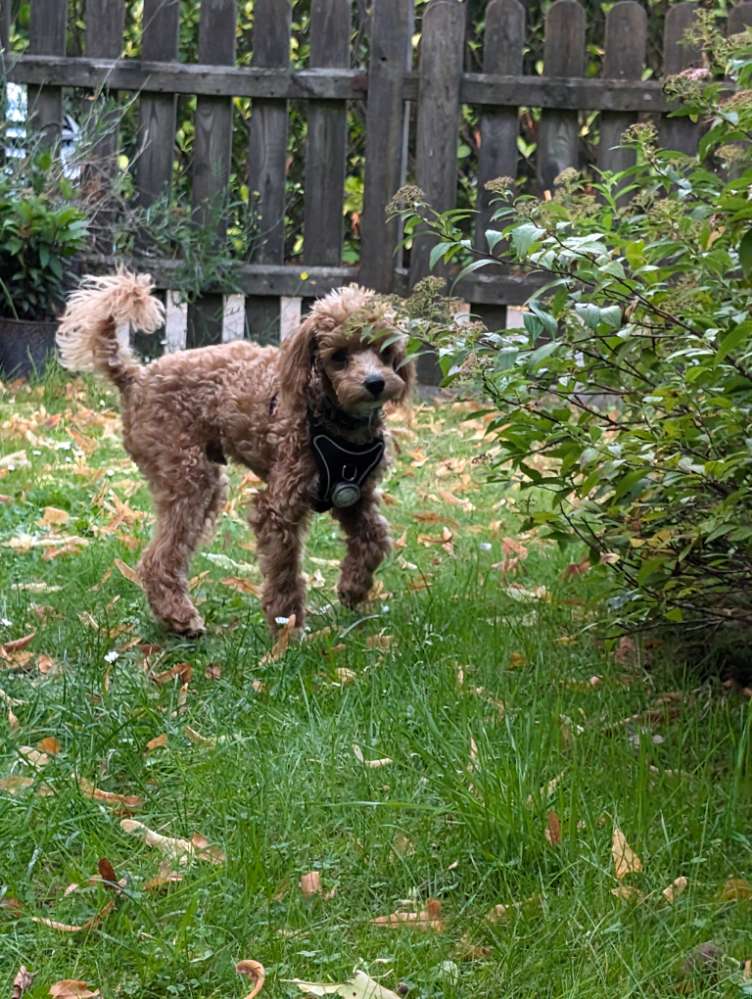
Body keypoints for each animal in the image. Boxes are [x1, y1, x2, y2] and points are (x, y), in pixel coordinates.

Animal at [55, 272, 414, 632]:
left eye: (384, 349)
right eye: (339, 355)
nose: (375, 383)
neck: (335, 419)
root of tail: (135, 378)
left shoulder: (355, 496)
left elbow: (374, 538)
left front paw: (353, 588)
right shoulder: (277, 509)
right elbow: (285, 573)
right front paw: (287, 625)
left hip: (204, 483)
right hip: (187, 476)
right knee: (157, 559)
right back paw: (179, 616)